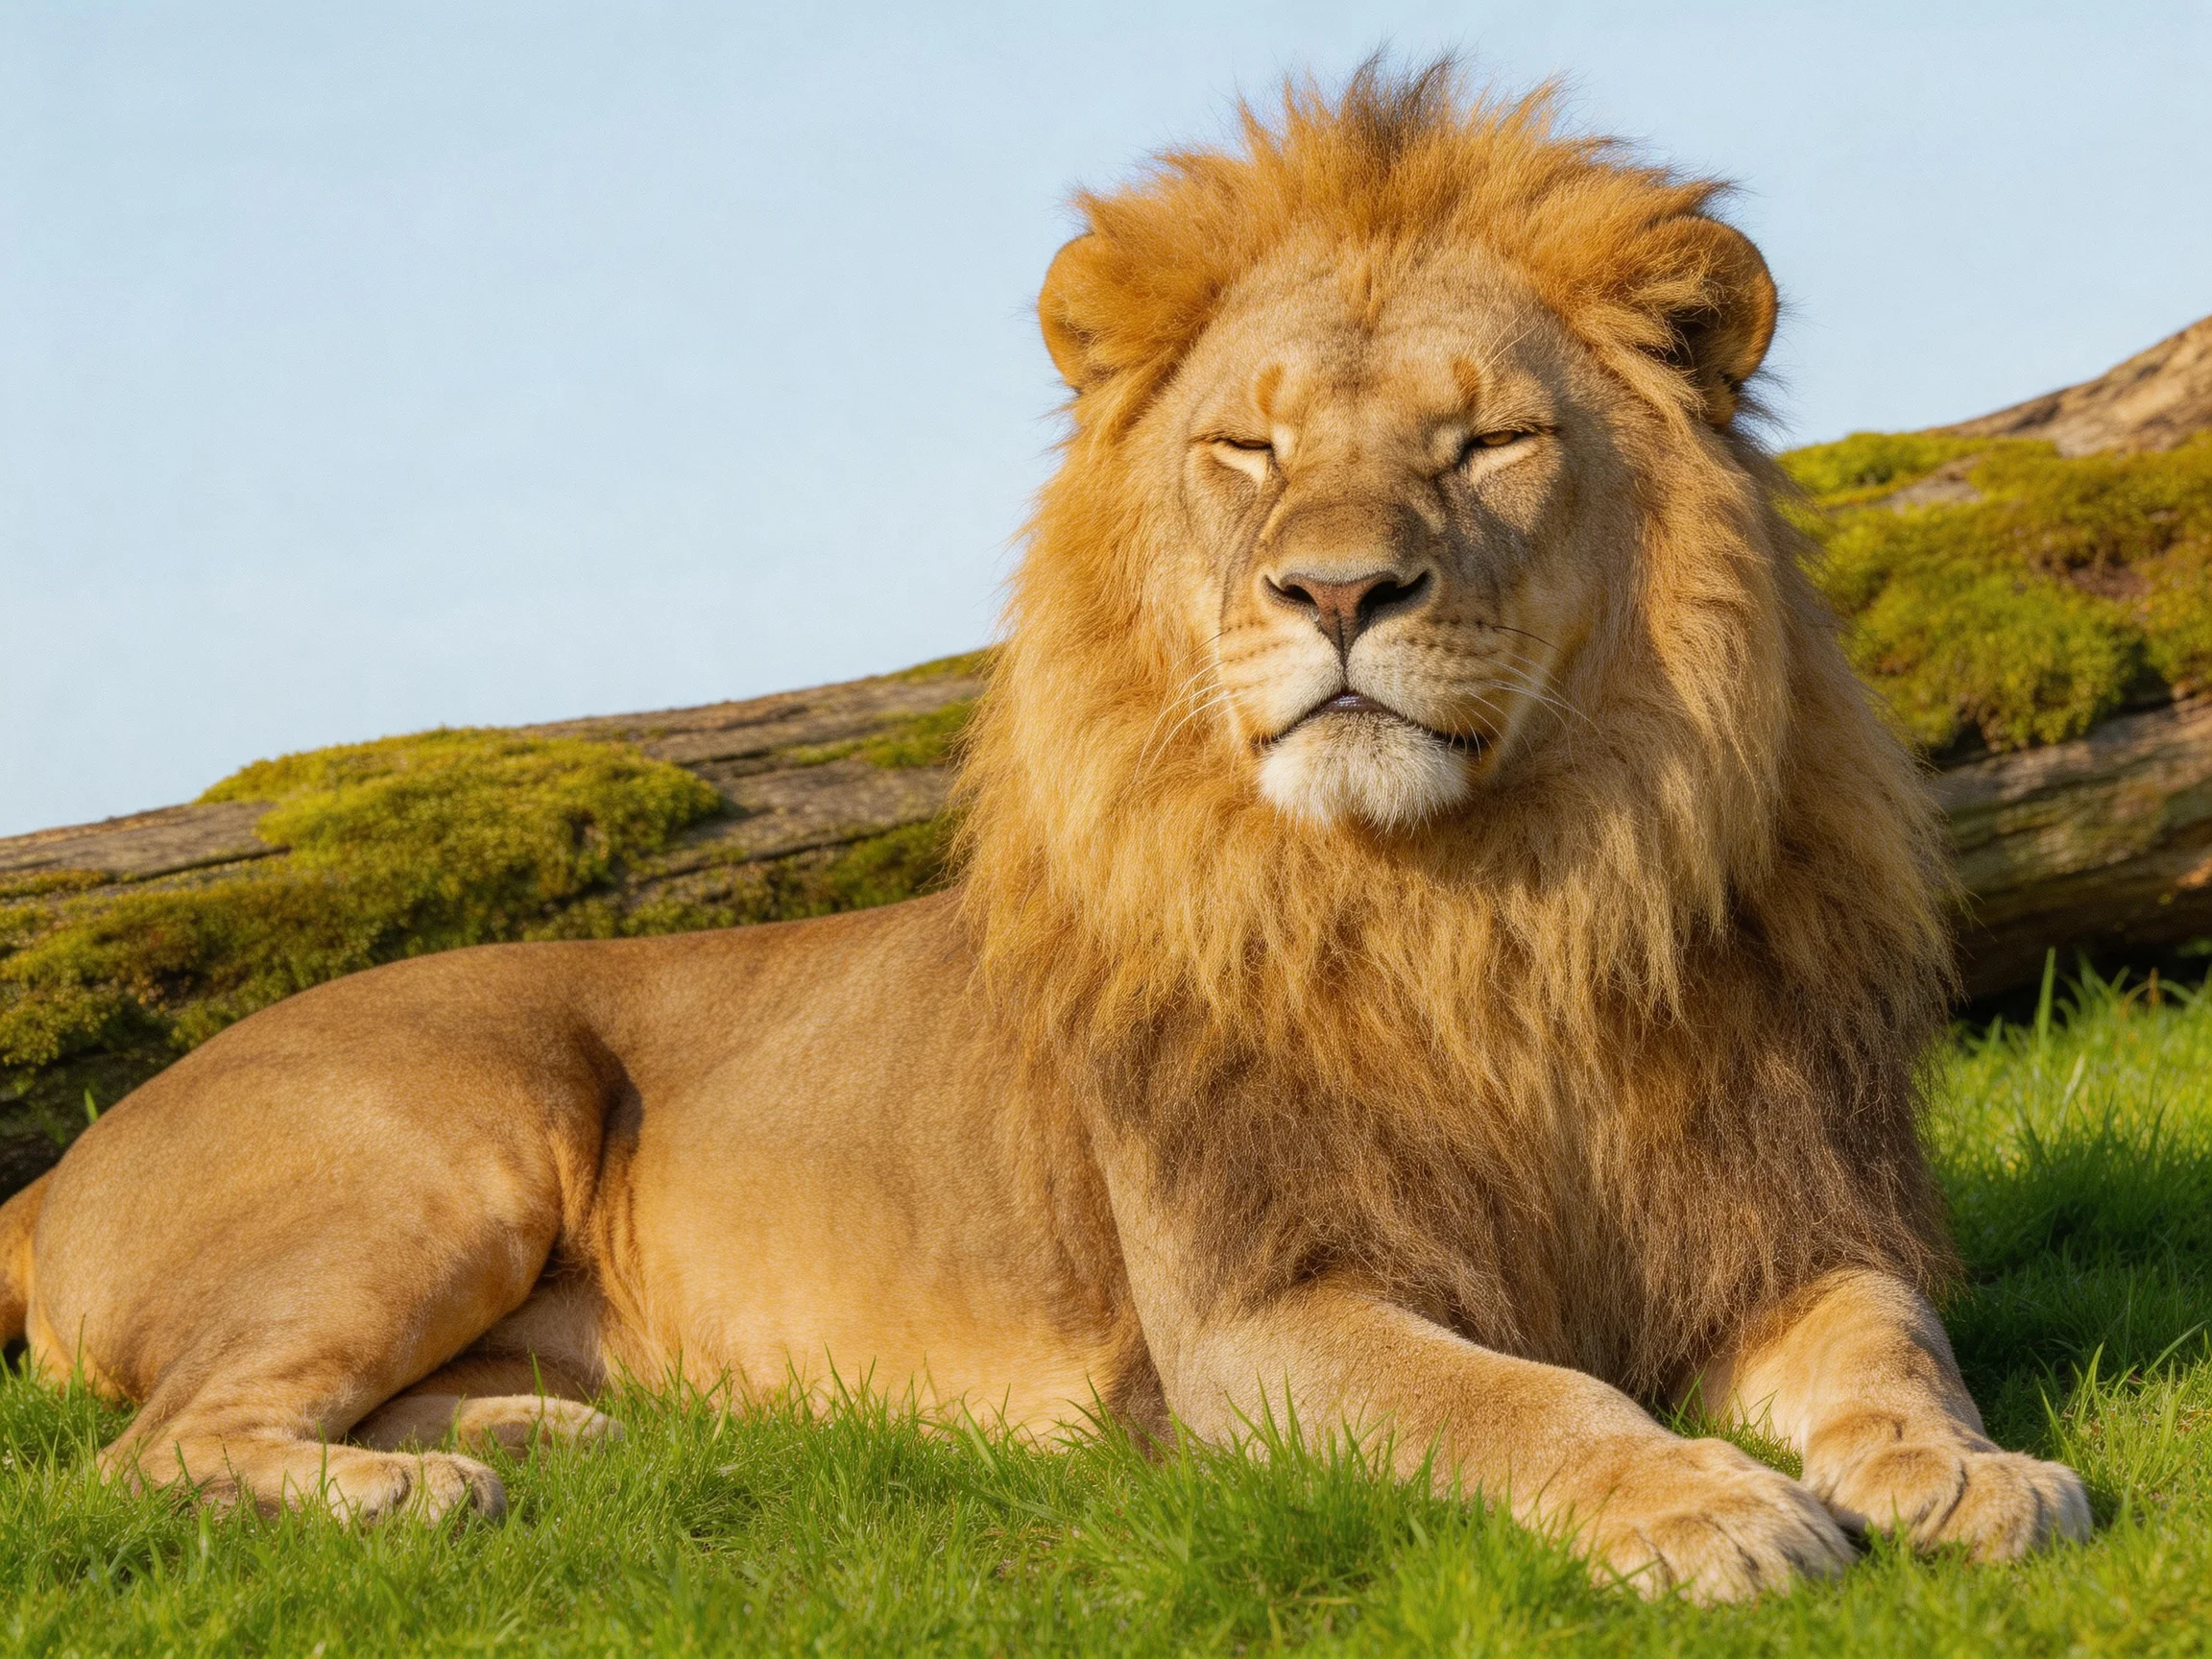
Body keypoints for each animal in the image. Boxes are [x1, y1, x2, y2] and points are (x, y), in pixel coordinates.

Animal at [0, 65, 2087, 1601]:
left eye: (1489, 443)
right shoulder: (1259, 1317)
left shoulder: (1777, 1219)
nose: (1339, 590)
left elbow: (1894, 1345)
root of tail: (59, 1160)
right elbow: (1515, 1401)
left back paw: (552, 1436)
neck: (1481, 910)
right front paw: (1701, 1502)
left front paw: (1974, 1470)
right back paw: (414, 1499)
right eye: (1247, 451)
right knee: (145, 1447)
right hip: (458, 1125)